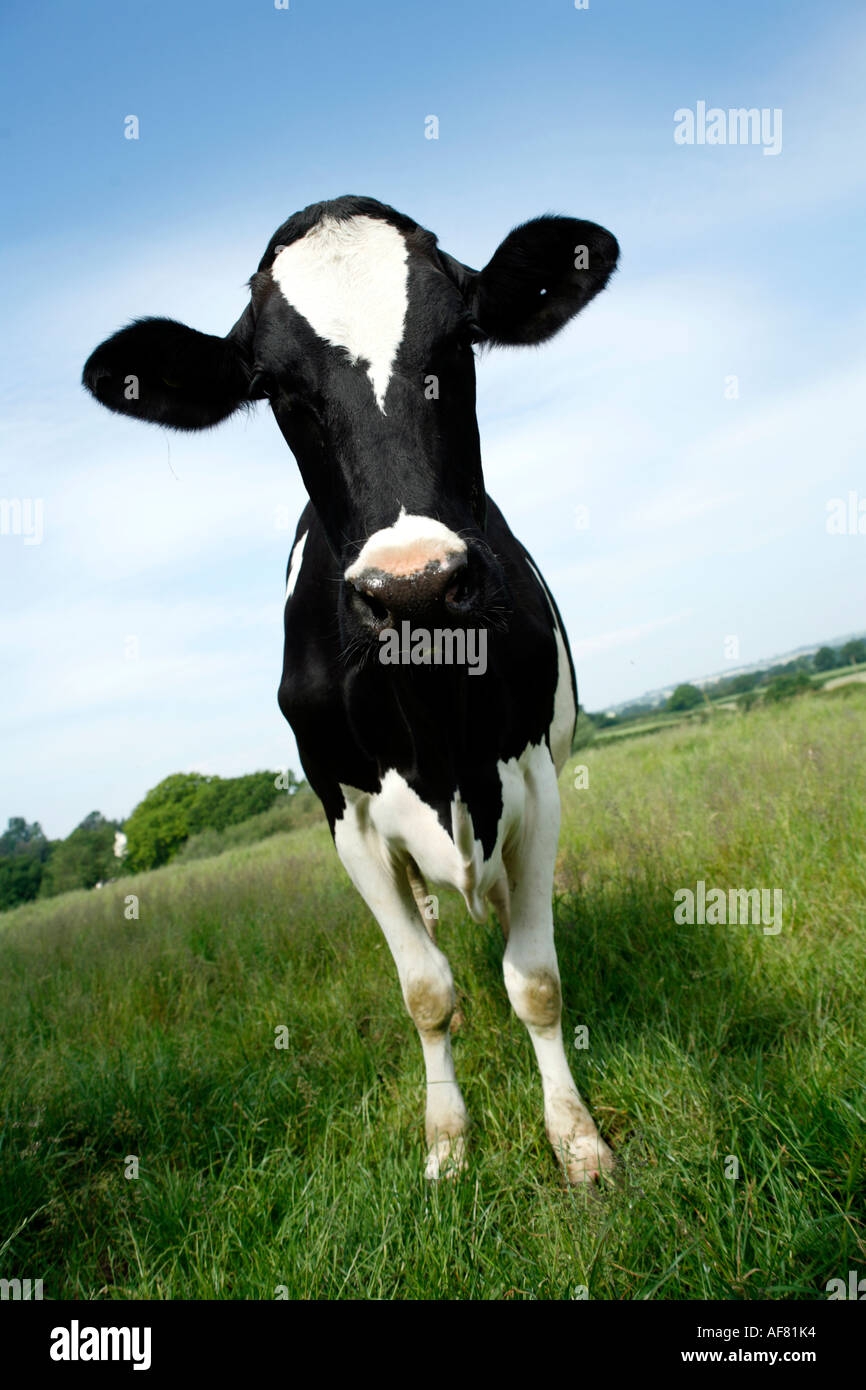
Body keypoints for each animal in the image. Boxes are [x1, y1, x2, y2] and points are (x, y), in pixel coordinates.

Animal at [84, 198, 619, 1184]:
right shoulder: (351, 817)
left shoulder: (534, 782)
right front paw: (446, 1140)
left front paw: (577, 1140)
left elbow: (534, 982)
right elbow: (425, 991)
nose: (413, 584)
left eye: (460, 342)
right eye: (277, 390)